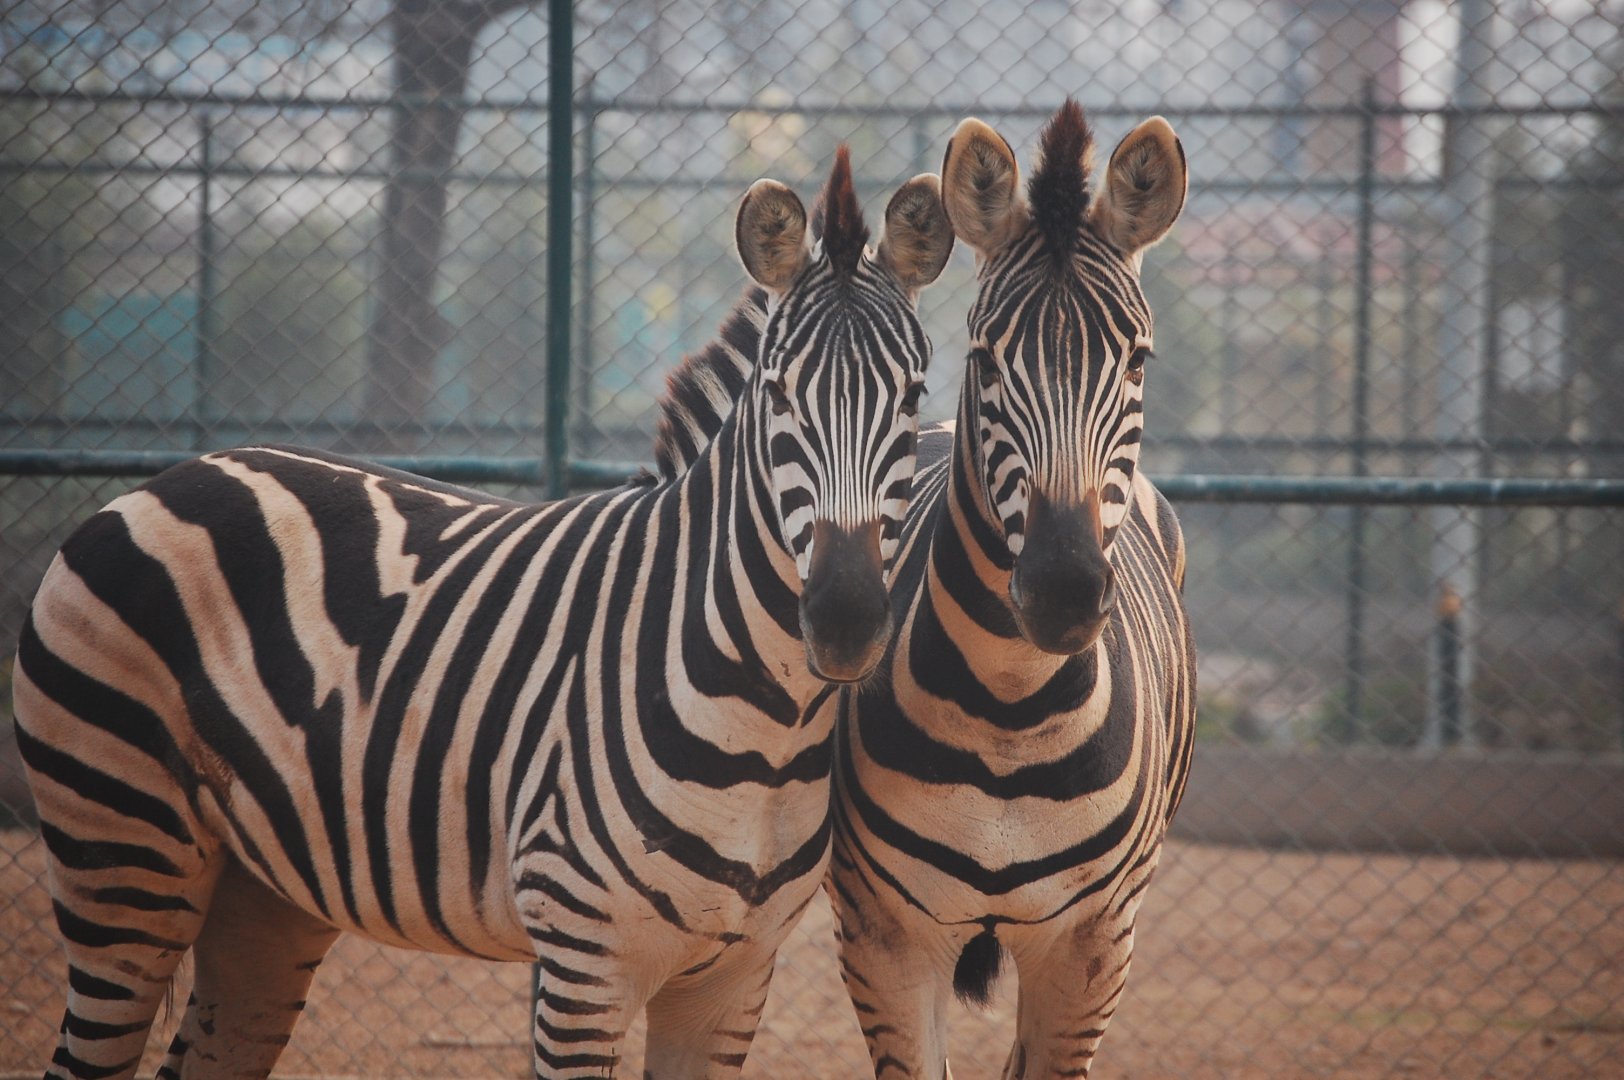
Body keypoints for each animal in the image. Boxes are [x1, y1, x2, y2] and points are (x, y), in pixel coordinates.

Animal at [12, 146, 954, 1080]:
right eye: (778, 396)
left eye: (914, 399)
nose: (845, 621)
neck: (770, 727)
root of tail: (167, 478)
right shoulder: (580, 968)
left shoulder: (733, 981)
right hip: (122, 855)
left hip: (261, 897)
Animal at [824, 102, 1198, 1079]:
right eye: (987, 360)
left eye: (1138, 361)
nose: (1064, 592)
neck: (1008, 709)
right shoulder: (885, 937)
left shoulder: (1093, 946)